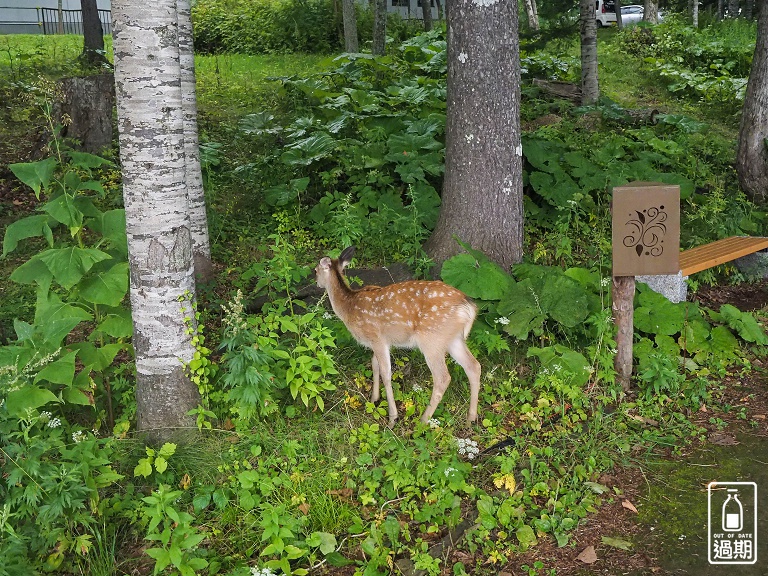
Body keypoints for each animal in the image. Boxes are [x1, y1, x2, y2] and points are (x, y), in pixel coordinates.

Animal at [312, 245, 480, 426]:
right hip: (454, 339)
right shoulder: (382, 341)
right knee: (474, 366)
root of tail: (468, 307)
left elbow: (386, 373)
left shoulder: (377, 337)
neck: (349, 306)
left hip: (432, 339)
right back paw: (471, 418)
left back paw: (423, 420)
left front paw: (393, 417)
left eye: (315, 270)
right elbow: (374, 364)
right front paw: (374, 399)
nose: (317, 283)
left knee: (443, 377)